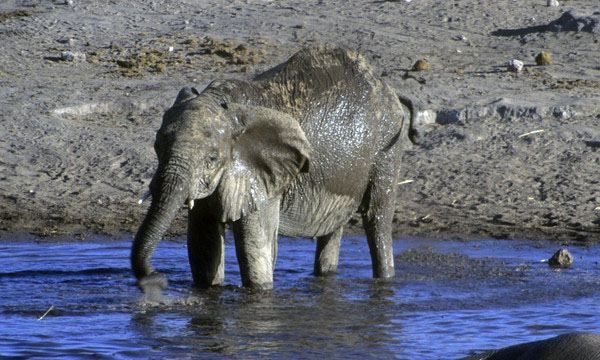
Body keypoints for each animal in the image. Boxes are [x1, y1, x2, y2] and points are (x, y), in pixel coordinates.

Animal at [131, 45, 412, 292]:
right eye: (157, 146)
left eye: (212, 158)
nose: (157, 278)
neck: (226, 107)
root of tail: (386, 86)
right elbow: (203, 247)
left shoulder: (262, 176)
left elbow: (255, 251)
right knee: (333, 228)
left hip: (387, 144)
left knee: (377, 217)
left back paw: (385, 277)